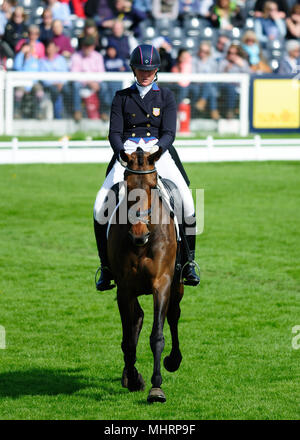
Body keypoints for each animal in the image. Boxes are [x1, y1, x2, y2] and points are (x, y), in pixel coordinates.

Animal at [106, 147, 184, 402]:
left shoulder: (162, 283)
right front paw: (134, 379)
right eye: (128, 184)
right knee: (136, 319)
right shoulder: (125, 289)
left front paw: (156, 388)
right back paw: (128, 374)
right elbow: (129, 340)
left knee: (173, 315)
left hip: (177, 285)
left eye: (151, 185)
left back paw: (174, 360)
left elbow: (157, 336)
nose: (139, 235)